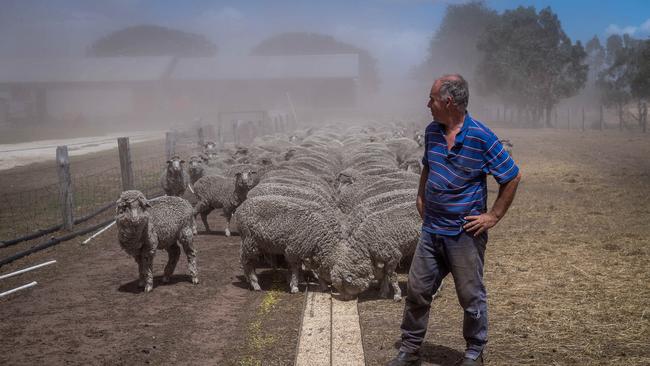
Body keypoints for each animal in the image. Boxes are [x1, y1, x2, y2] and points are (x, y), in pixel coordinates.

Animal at [235, 194, 372, 298]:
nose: (351, 296)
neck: (318, 238)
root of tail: (240, 208)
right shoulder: (293, 250)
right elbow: (296, 269)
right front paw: (294, 286)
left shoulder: (308, 252)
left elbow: (315, 269)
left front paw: (323, 285)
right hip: (249, 239)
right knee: (246, 261)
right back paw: (254, 283)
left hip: (259, 243)